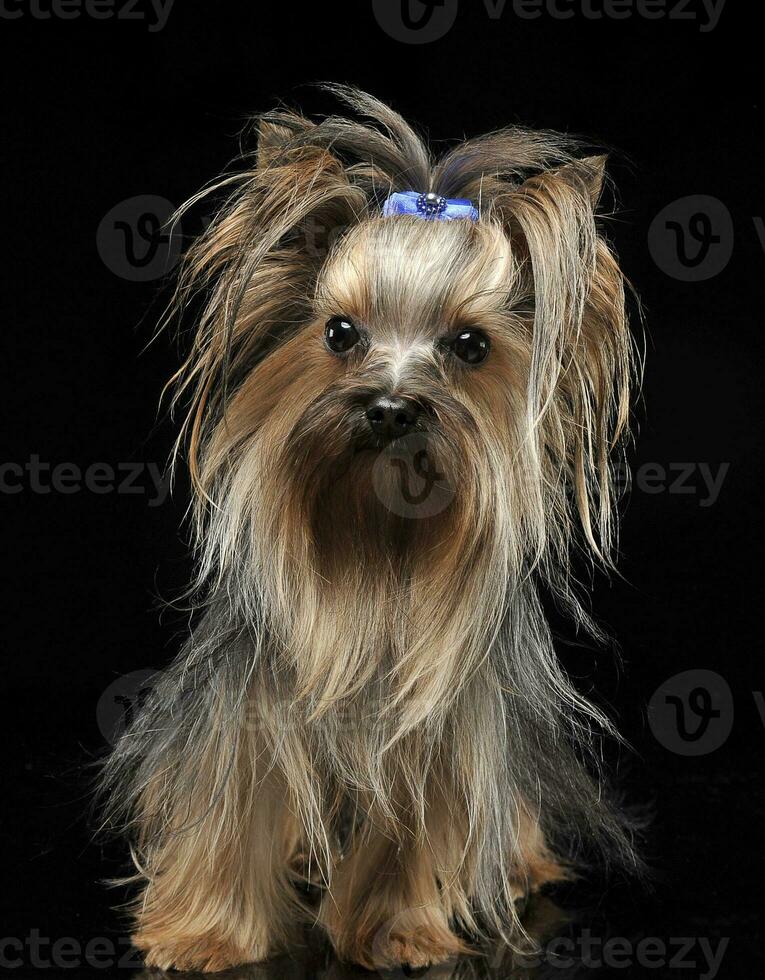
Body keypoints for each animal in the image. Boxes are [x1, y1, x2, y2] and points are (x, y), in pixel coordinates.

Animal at [101, 86, 640, 972]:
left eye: (469, 345)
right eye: (340, 333)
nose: (389, 406)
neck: (375, 540)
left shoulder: (437, 733)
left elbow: (408, 832)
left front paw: (396, 931)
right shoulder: (245, 712)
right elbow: (231, 805)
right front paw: (206, 933)